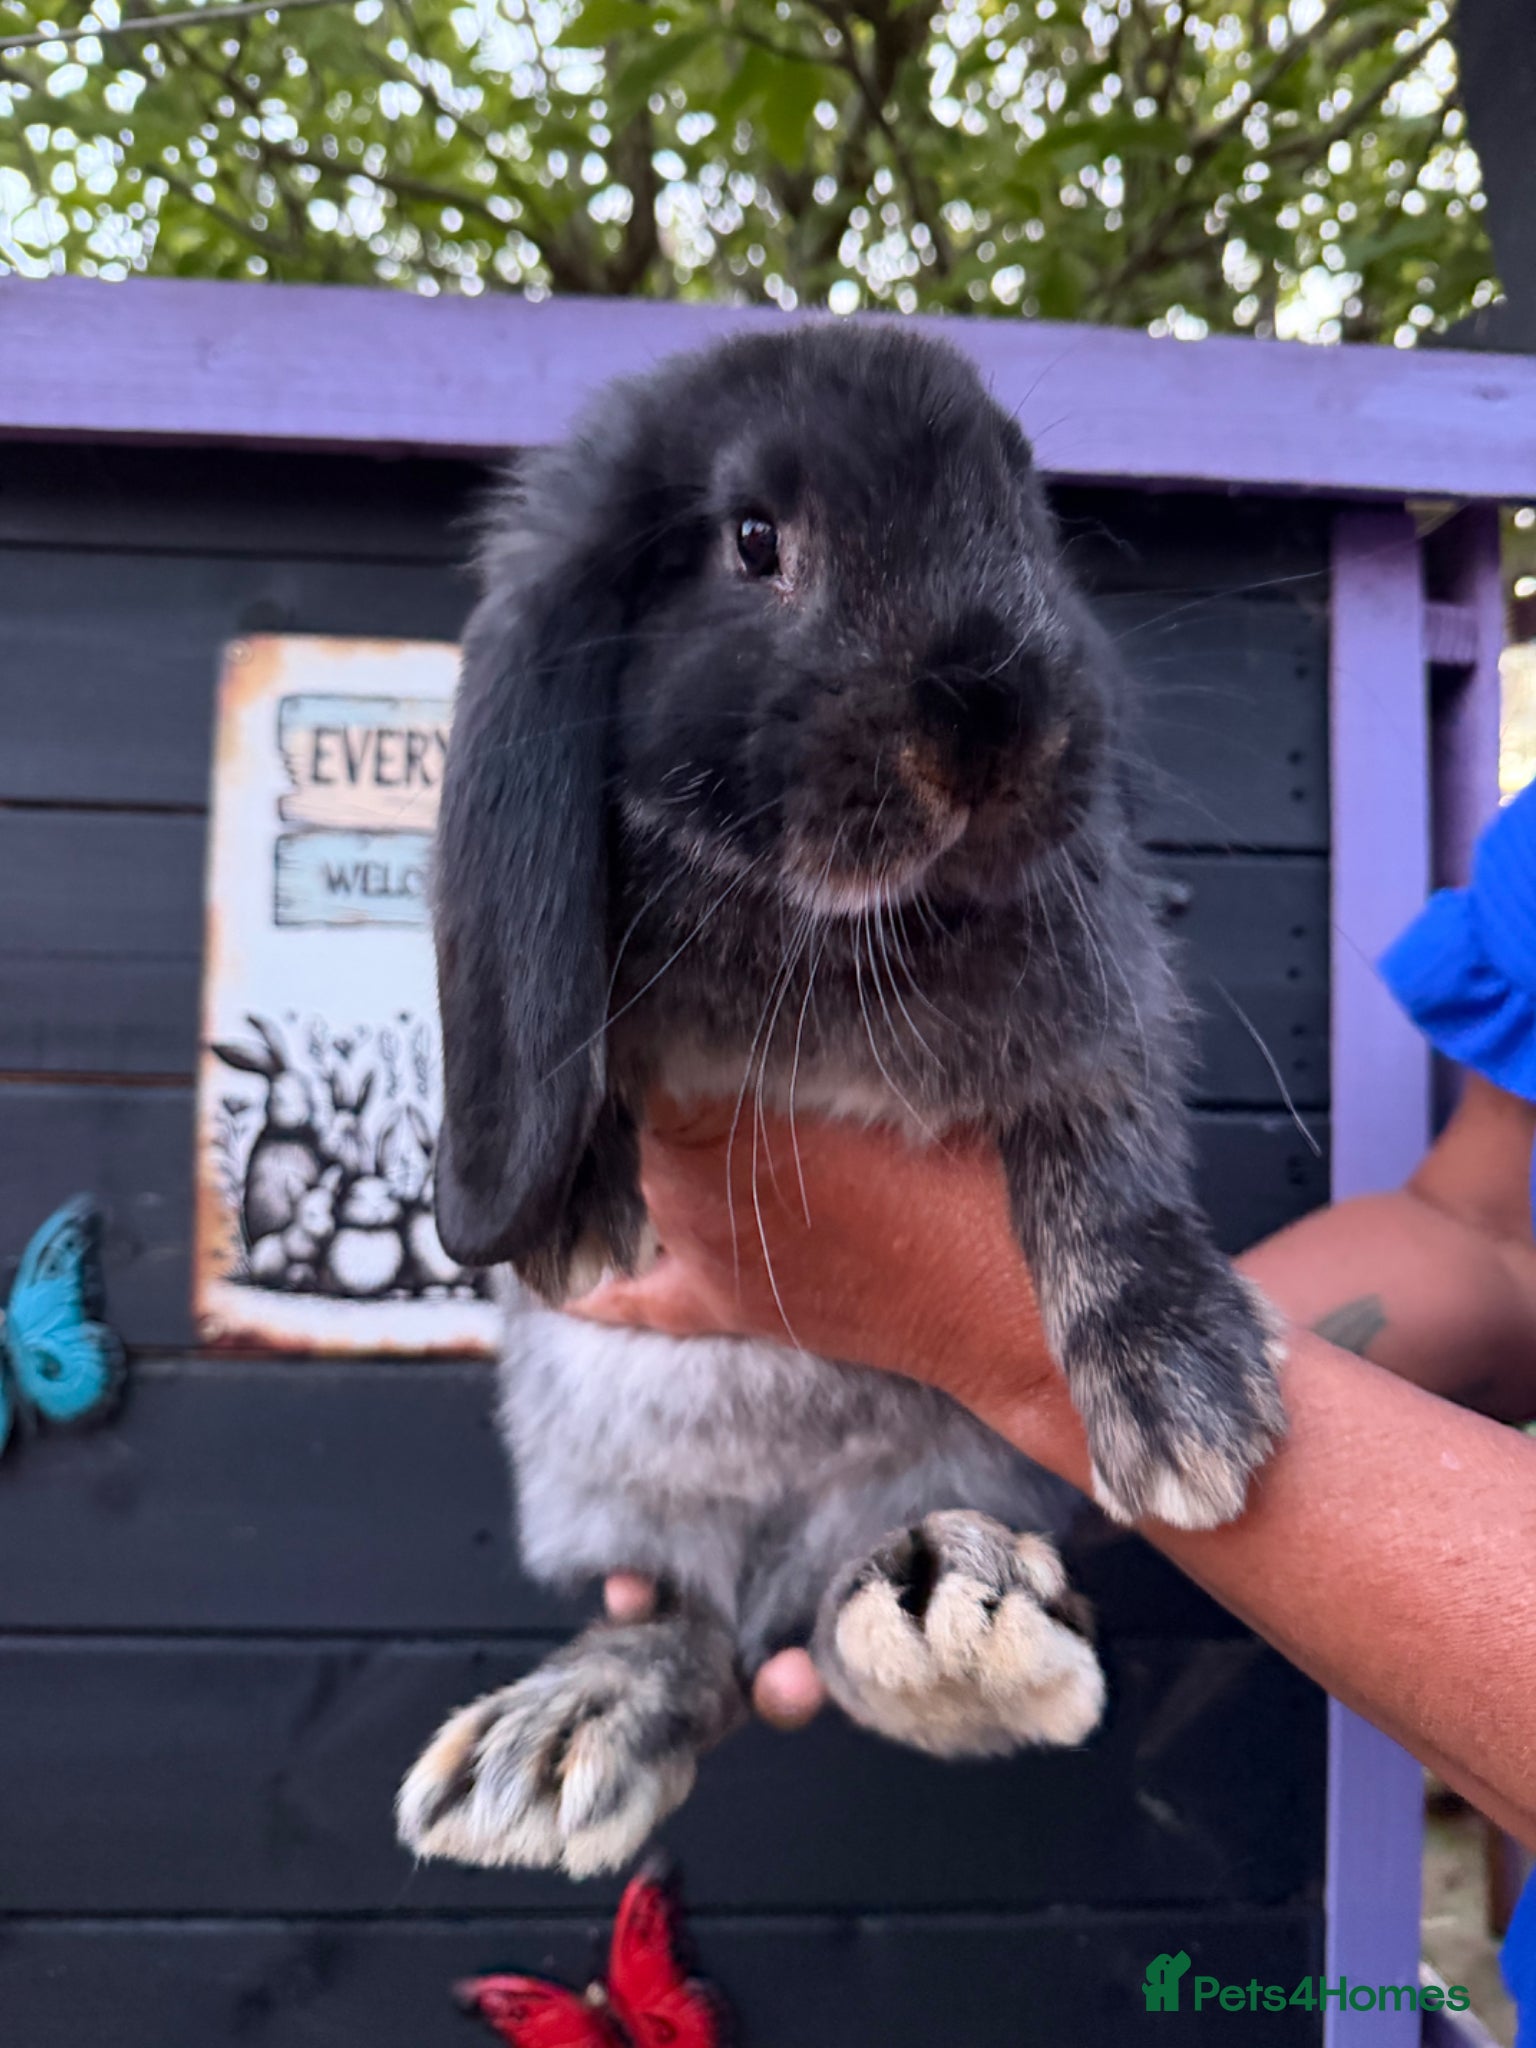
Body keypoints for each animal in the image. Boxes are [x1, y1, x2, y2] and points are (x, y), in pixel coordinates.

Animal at [396, 322, 1285, 1882]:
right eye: (755, 540)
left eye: (1025, 516)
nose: (991, 721)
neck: (834, 930)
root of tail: (782, 1558)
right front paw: (576, 1205)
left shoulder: (1089, 1030)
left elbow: (1104, 1171)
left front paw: (1186, 1399)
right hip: (616, 1494)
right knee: (691, 1628)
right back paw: (563, 1736)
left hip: (951, 1466)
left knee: (835, 1614)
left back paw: (954, 1620)